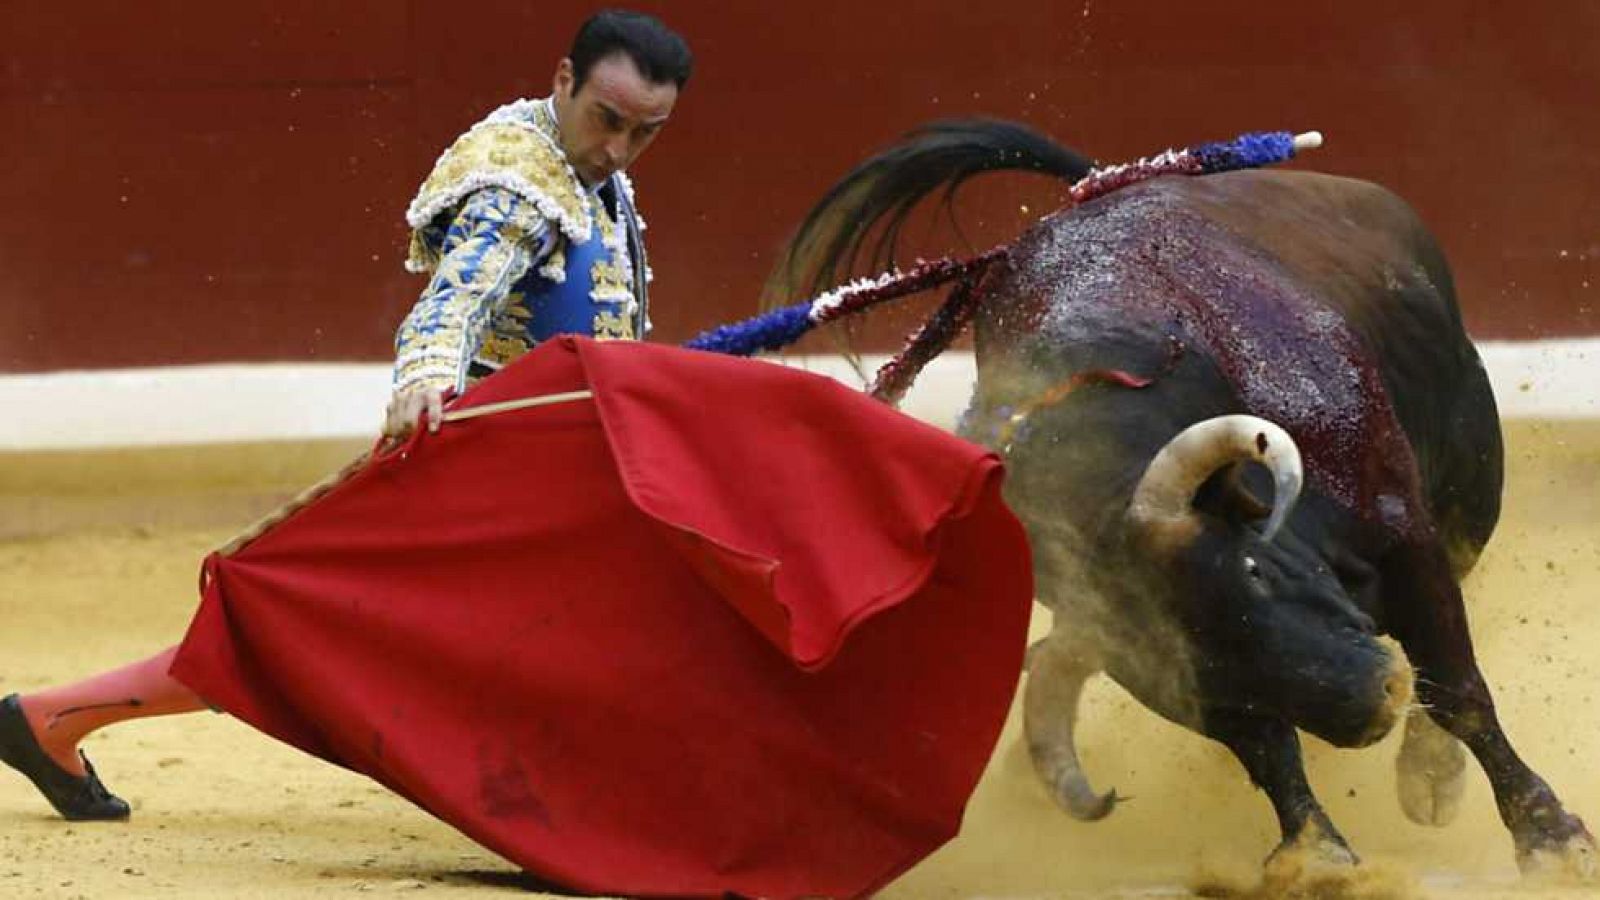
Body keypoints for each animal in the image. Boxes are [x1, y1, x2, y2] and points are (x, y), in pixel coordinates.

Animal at [768, 119, 1593, 871]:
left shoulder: (1406, 538)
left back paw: (1431, 773)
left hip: (1470, 481)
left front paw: (1550, 839)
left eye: (1254, 570)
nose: (1375, 699)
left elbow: (1458, 686)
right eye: (1196, 676)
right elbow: (1268, 749)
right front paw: (1315, 853)